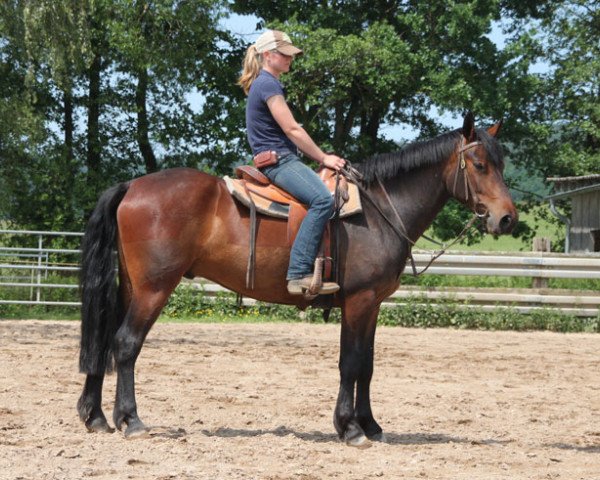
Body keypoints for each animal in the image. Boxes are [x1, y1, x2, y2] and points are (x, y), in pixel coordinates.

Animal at [77, 112, 516, 446]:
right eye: (480, 165)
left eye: (502, 165)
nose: (507, 219)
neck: (378, 210)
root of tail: (132, 185)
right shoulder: (358, 301)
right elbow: (350, 362)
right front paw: (350, 428)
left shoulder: (372, 304)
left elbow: (368, 364)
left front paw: (370, 425)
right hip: (154, 289)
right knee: (126, 343)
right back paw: (131, 420)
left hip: (131, 286)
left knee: (105, 339)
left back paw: (95, 416)